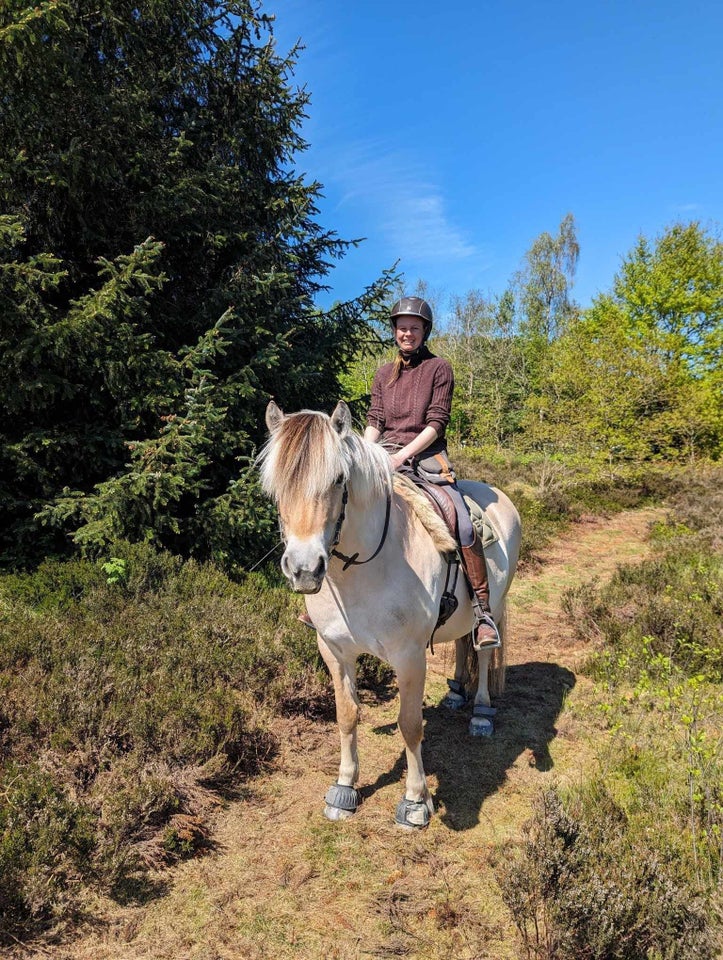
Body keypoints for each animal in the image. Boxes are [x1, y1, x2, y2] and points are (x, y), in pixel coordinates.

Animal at [260, 402, 520, 828]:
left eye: (338, 479)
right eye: (275, 485)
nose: (304, 569)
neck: (363, 568)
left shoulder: (409, 657)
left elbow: (410, 725)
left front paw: (415, 802)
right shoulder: (334, 651)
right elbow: (346, 715)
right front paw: (344, 788)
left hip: (494, 608)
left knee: (483, 652)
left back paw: (481, 711)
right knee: (462, 644)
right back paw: (456, 694)